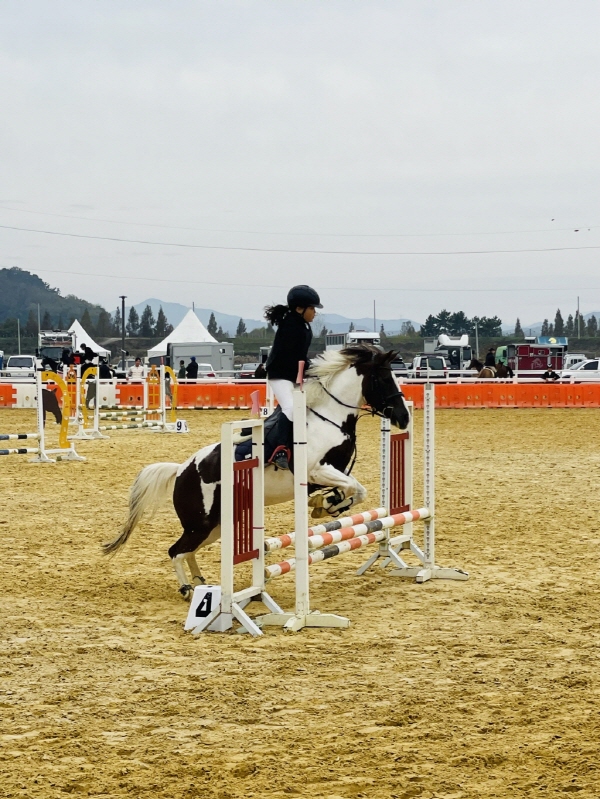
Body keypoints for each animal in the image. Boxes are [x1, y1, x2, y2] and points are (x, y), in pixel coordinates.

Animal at [104, 346, 412, 600]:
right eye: (384, 379)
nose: (404, 418)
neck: (330, 418)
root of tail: (181, 470)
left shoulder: (331, 472)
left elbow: (356, 492)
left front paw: (326, 504)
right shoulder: (316, 470)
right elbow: (355, 489)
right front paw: (325, 504)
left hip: (215, 526)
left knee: (187, 550)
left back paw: (201, 582)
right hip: (200, 524)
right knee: (176, 551)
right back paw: (188, 589)